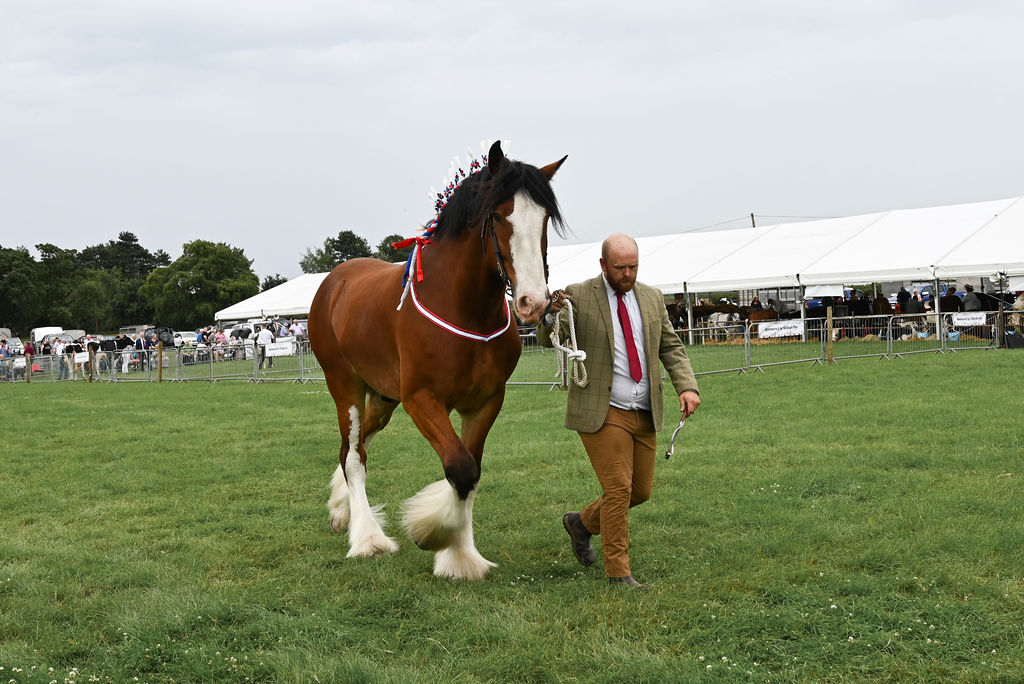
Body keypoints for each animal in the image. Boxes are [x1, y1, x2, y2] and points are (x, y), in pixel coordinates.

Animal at [311, 141, 569, 581]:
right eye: (497, 215)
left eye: (545, 218)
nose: (533, 303)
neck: (463, 308)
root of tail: (334, 281)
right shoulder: (422, 401)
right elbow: (459, 469)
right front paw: (436, 537)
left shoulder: (485, 403)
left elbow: (471, 472)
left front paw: (462, 554)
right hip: (345, 386)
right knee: (354, 457)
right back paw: (368, 539)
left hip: (382, 398)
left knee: (355, 447)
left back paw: (342, 510)